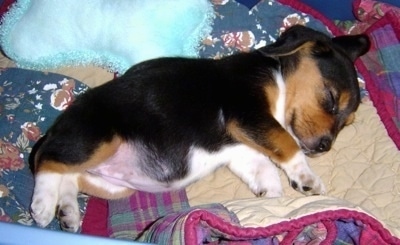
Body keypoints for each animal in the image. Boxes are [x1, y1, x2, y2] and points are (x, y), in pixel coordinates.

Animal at [30, 25, 368, 232]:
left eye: (347, 123)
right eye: (330, 98)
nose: (325, 146)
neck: (277, 75)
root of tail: (53, 129)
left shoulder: (241, 148)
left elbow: (265, 169)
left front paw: (272, 200)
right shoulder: (248, 113)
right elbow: (287, 143)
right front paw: (306, 177)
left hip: (112, 183)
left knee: (68, 175)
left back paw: (68, 212)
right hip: (99, 137)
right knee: (47, 160)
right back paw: (43, 205)